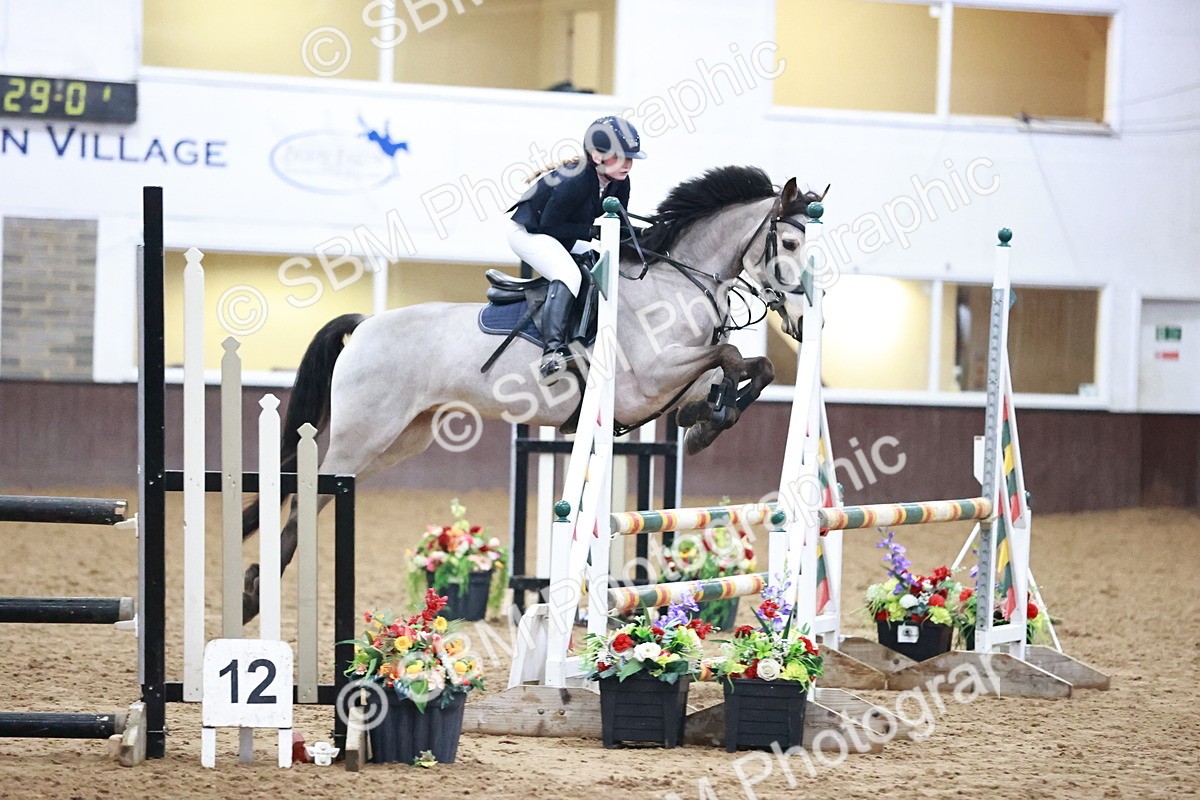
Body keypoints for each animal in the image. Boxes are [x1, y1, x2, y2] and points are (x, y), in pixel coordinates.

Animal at [241, 165, 822, 620]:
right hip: (365, 433)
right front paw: (710, 420)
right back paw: (254, 591)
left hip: (400, 438)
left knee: (321, 489)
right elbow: (732, 356)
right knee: (310, 490)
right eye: (790, 244)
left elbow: (750, 369)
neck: (681, 283)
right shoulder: (649, 380)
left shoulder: (668, 387)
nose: (800, 318)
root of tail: (364, 325)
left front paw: (704, 422)